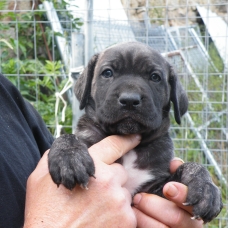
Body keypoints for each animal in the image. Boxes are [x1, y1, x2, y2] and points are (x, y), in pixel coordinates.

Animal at [48, 41, 223, 223]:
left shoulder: (155, 188)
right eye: (107, 73)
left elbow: (192, 166)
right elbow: (67, 137)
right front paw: (69, 158)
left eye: (155, 77)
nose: (130, 100)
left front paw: (205, 187)